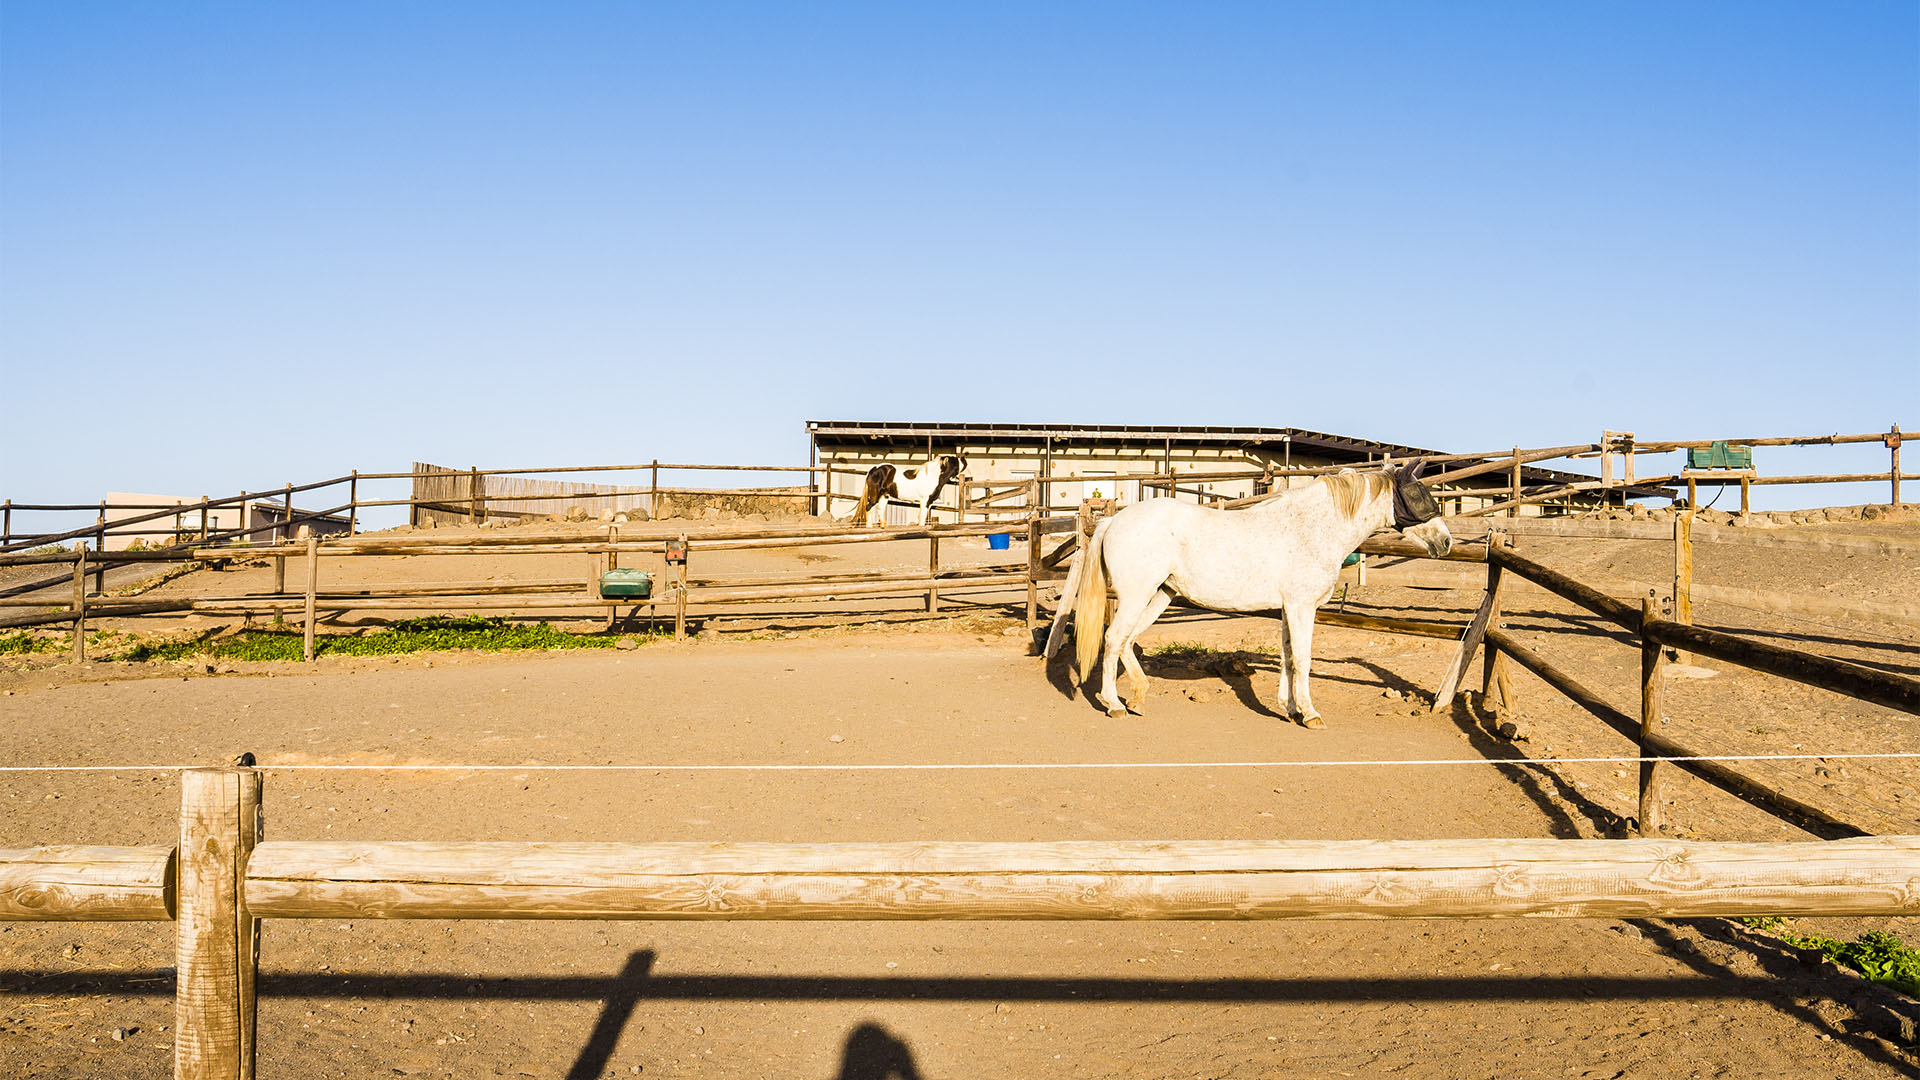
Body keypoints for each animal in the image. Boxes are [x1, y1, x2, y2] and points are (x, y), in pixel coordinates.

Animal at [1052, 461, 1451, 722]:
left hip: (1160, 594)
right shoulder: (1302, 607)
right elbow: (1303, 659)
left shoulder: (1289, 609)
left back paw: (1137, 697)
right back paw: (1115, 705)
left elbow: (1288, 657)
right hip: (1138, 595)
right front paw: (1310, 714)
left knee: (1128, 640)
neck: (1312, 528)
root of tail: (1113, 519)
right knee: (1114, 639)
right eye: (1417, 493)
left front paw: (1289, 709)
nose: (1445, 541)